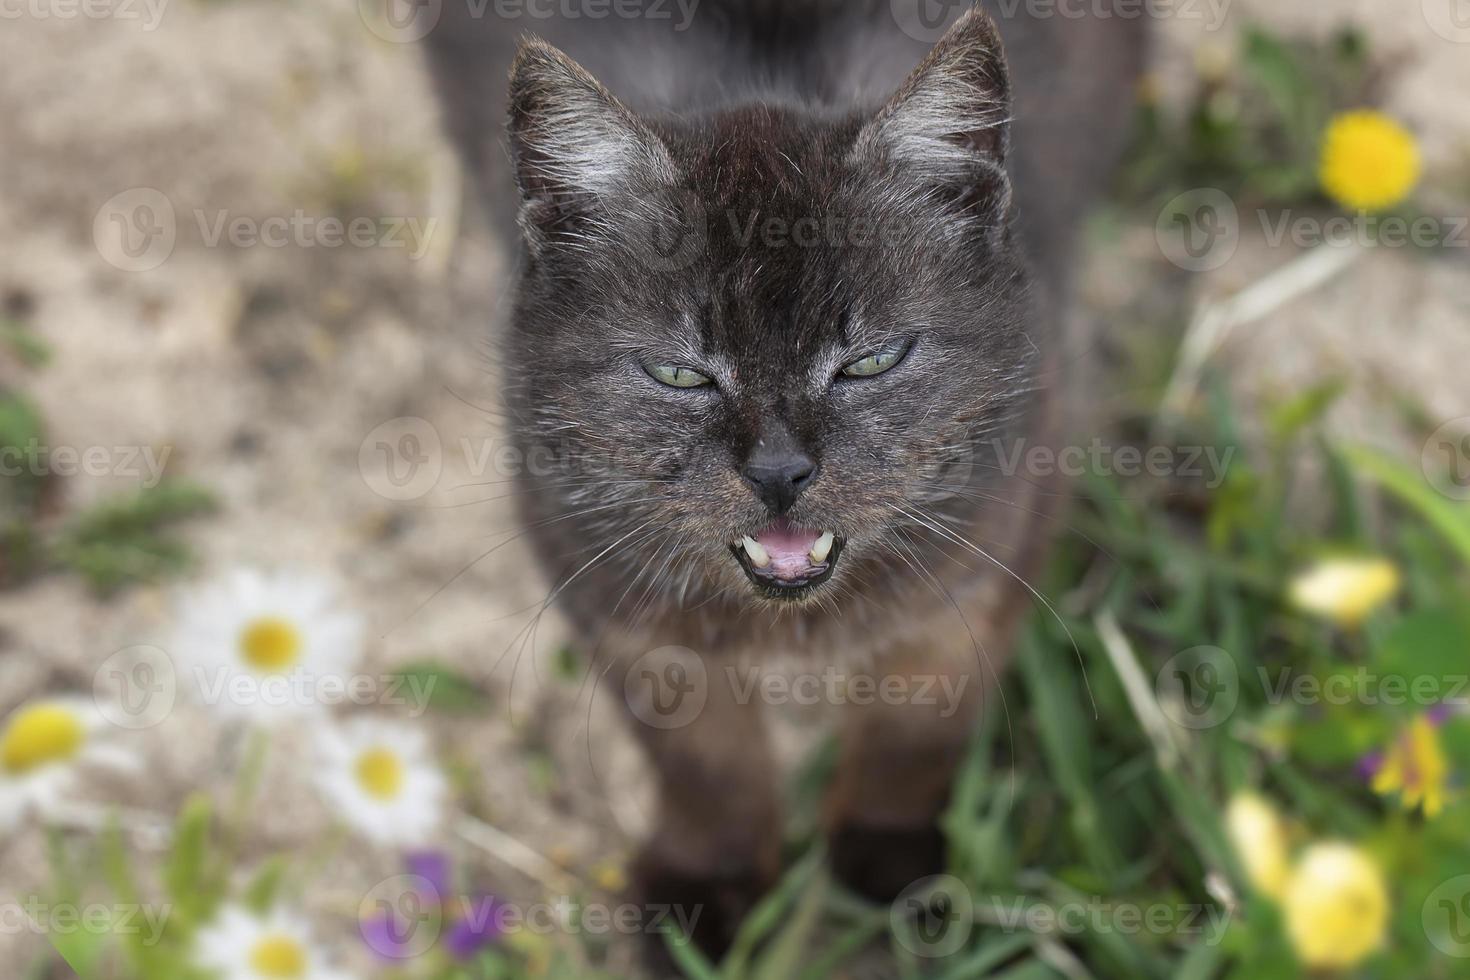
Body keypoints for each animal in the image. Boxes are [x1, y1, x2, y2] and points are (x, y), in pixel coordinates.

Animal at [420, 0, 1140, 963]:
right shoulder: (617, 598)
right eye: (679, 374)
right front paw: (706, 899)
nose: (779, 470)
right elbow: (704, 762)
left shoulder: (987, 559)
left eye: (873, 359)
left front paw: (890, 872)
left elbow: (914, 731)